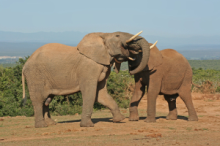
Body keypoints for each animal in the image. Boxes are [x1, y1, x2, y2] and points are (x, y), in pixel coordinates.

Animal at [21, 31, 156, 128]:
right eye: (117, 35)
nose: (130, 69)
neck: (103, 34)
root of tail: (24, 65)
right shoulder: (88, 68)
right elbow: (90, 92)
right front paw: (87, 126)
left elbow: (101, 94)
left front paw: (120, 120)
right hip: (35, 74)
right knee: (39, 99)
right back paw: (42, 126)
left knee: (47, 100)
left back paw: (51, 124)